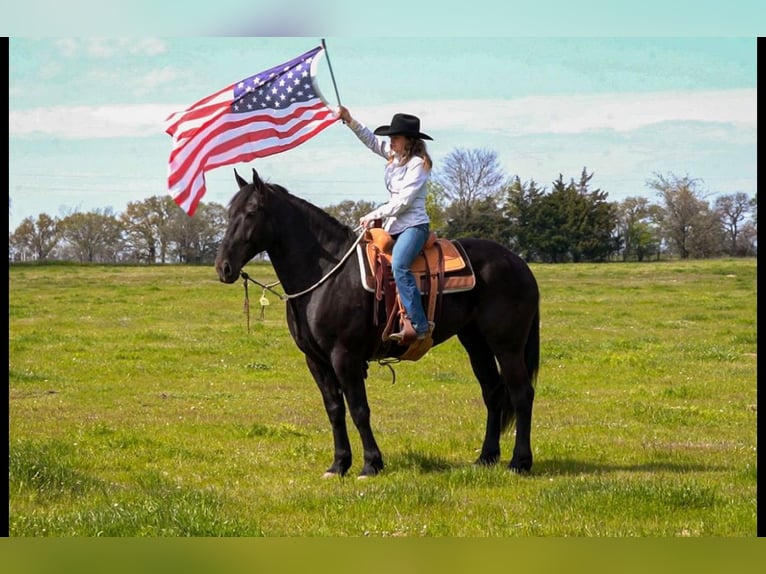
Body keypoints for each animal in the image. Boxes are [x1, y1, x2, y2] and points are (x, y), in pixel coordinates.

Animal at [213, 169, 544, 480]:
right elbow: (335, 410)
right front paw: (338, 465)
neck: (326, 274)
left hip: (507, 345)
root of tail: (519, 263)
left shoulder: (344, 356)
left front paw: (371, 464)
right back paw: (486, 458)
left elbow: (359, 409)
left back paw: (519, 462)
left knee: (521, 393)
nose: (223, 268)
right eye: (229, 214)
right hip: (475, 343)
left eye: (252, 212)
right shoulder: (316, 360)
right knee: (493, 392)